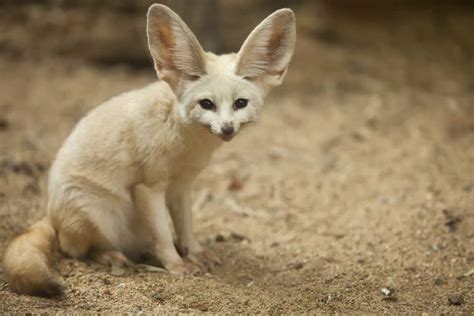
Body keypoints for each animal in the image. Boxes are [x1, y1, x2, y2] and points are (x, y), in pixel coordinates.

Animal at [2, 3, 296, 298]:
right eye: (207, 104)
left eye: (240, 103)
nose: (226, 129)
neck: (186, 145)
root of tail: (50, 213)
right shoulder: (149, 187)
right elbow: (164, 235)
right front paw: (177, 266)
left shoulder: (182, 187)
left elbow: (186, 227)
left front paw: (194, 252)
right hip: (97, 214)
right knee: (74, 250)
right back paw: (111, 256)